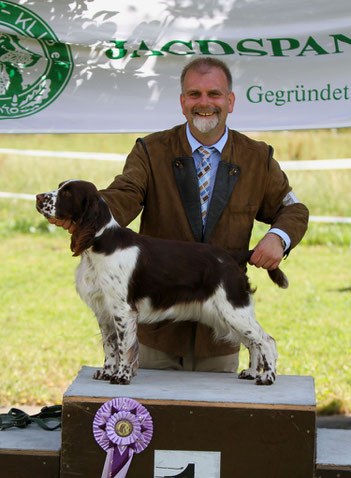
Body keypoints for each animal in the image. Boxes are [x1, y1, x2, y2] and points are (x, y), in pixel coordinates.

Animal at [36, 178, 288, 384]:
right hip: (227, 314)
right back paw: (252, 373)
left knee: (267, 341)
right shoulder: (104, 310)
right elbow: (110, 346)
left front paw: (122, 376)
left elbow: (124, 346)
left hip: (233, 309)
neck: (100, 242)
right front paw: (107, 372)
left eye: (67, 193)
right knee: (253, 343)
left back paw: (267, 377)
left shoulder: (123, 310)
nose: (38, 197)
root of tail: (232, 257)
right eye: (60, 187)